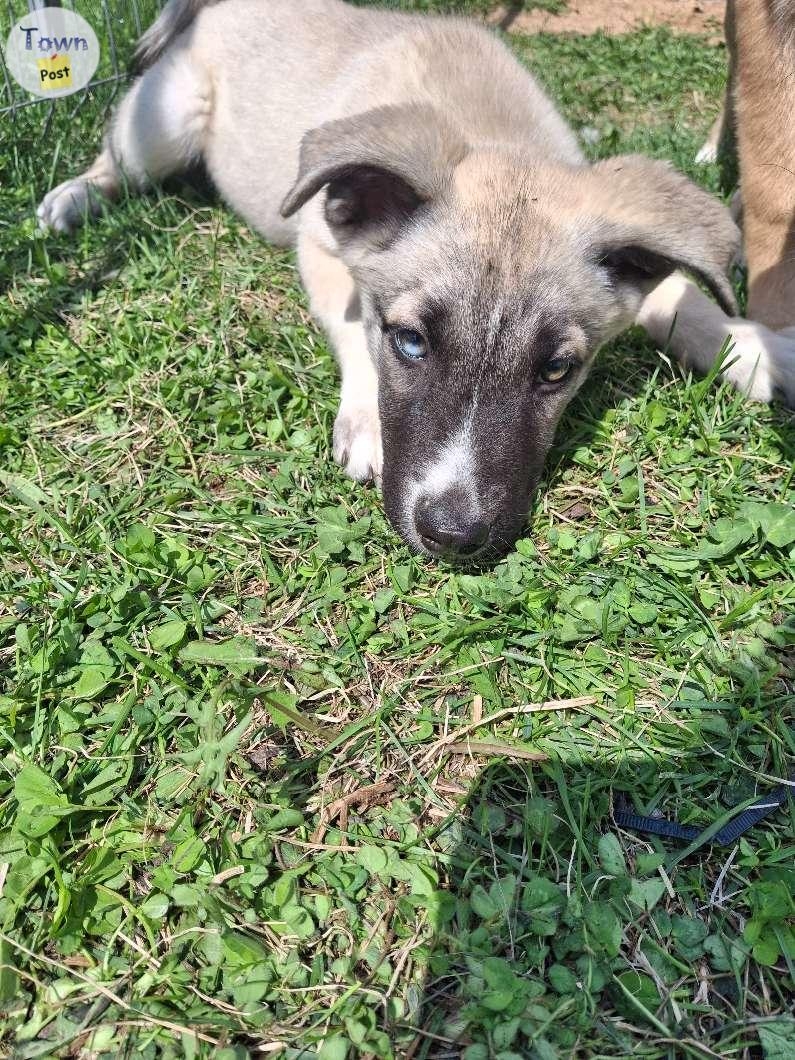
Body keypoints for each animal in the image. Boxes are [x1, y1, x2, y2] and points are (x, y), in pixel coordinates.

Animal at [38, 0, 758, 559]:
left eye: (557, 370)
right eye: (409, 342)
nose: (452, 537)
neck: (486, 130)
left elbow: (678, 296)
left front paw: (755, 352)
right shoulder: (322, 248)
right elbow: (355, 326)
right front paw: (366, 423)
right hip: (167, 122)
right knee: (113, 163)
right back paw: (69, 201)